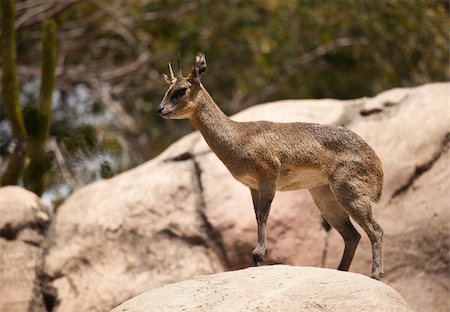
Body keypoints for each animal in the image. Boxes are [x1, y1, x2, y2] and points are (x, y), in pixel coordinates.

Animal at [158, 52, 384, 280]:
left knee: (376, 229)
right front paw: (257, 258)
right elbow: (257, 216)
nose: (160, 109)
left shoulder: (268, 176)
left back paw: (376, 274)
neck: (239, 138)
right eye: (168, 89)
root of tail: (377, 165)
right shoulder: (253, 185)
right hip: (324, 195)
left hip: (349, 191)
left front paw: (258, 255)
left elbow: (263, 215)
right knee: (352, 235)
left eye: (181, 89)